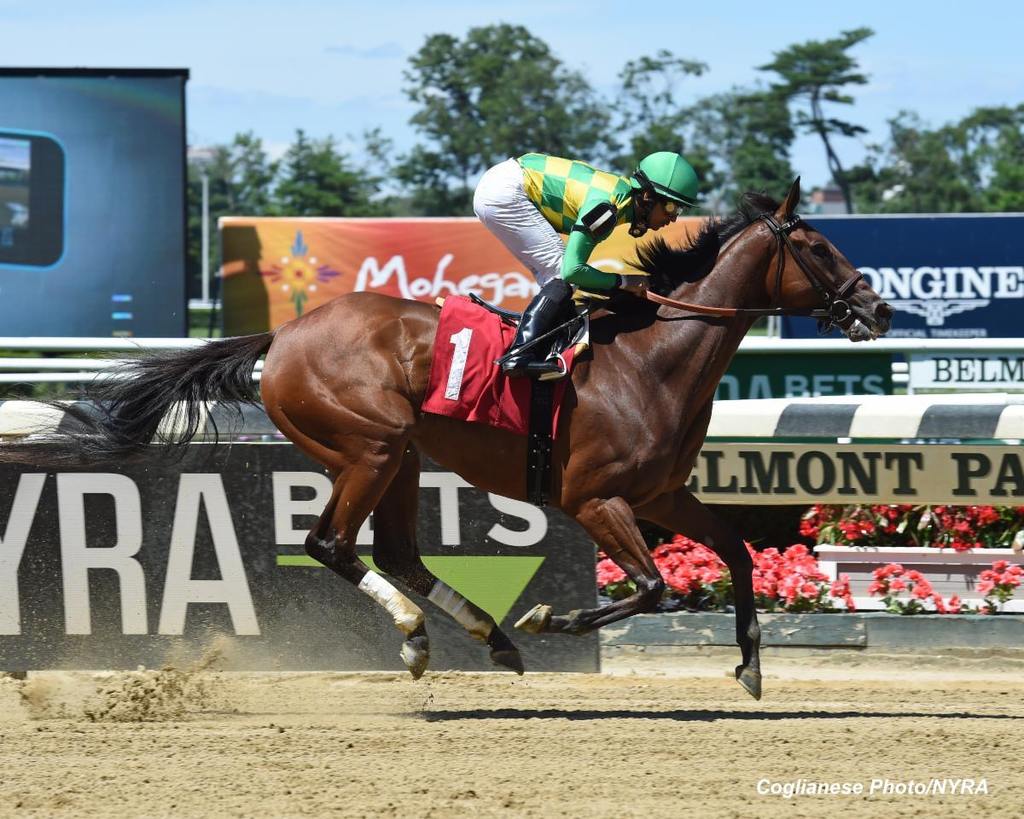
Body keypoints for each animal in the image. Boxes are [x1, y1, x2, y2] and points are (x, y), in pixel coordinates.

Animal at [4, 177, 888, 696]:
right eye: (816, 245)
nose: (875, 308)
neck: (650, 358)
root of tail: (284, 336)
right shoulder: (594, 498)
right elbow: (652, 587)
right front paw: (552, 620)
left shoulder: (662, 492)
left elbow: (734, 552)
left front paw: (749, 662)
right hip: (371, 444)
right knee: (330, 543)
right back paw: (421, 637)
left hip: (399, 456)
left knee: (395, 552)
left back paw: (483, 637)